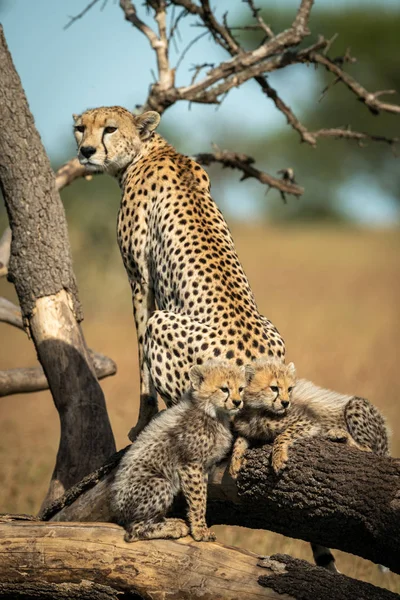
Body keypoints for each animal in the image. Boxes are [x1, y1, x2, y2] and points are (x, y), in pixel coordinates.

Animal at [75, 108, 286, 436]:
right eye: (79, 128)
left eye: (110, 129)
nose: (85, 151)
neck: (149, 149)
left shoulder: (139, 280)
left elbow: (141, 360)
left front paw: (142, 422)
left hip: (163, 323)